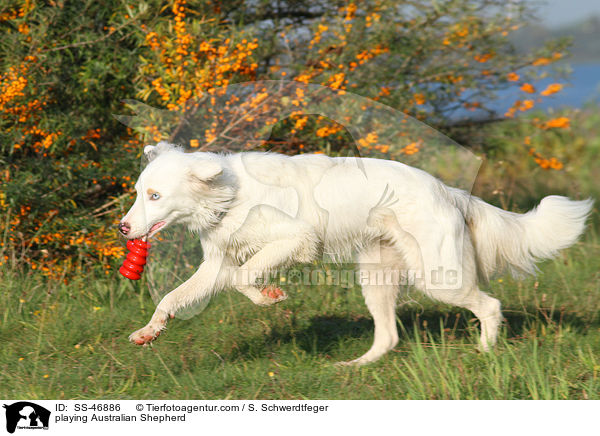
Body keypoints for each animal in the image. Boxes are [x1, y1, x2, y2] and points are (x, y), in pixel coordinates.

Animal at [119, 142, 592, 364]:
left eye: (156, 196)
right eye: (140, 193)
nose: (122, 228)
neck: (228, 196)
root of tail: (450, 192)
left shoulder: (295, 239)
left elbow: (245, 279)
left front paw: (269, 297)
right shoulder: (217, 263)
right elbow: (172, 298)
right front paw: (148, 333)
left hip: (440, 279)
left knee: (490, 305)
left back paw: (486, 351)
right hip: (376, 279)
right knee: (388, 336)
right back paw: (354, 366)